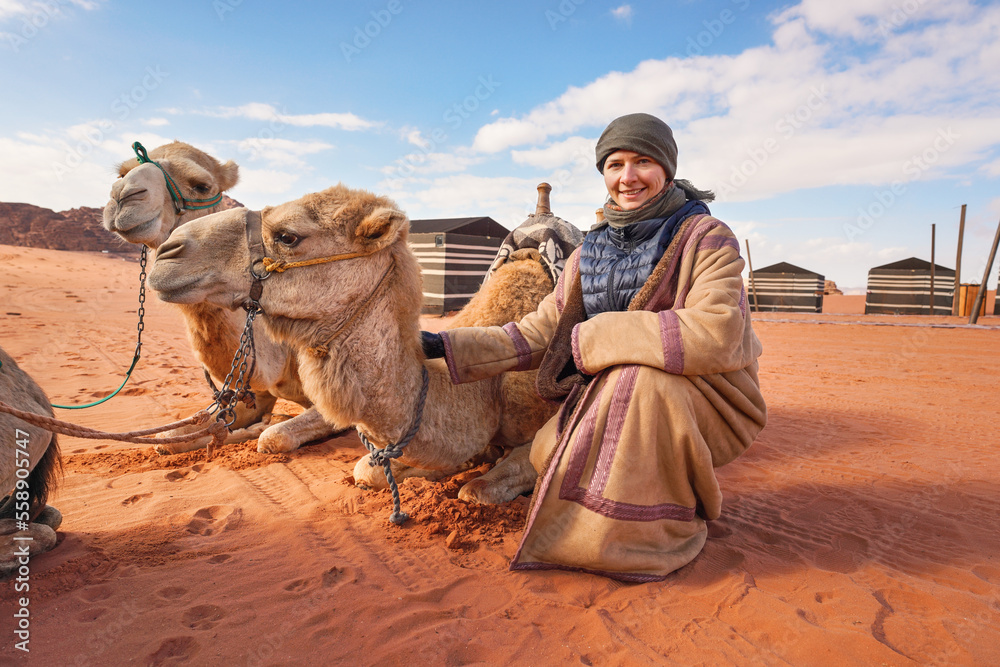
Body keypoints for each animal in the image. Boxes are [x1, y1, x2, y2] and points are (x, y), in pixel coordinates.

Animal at [102, 141, 342, 453]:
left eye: (201, 185)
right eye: (122, 173)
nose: (122, 196)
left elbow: (274, 437)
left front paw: (263, 427)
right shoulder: (257, 393)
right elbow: (169, 439)